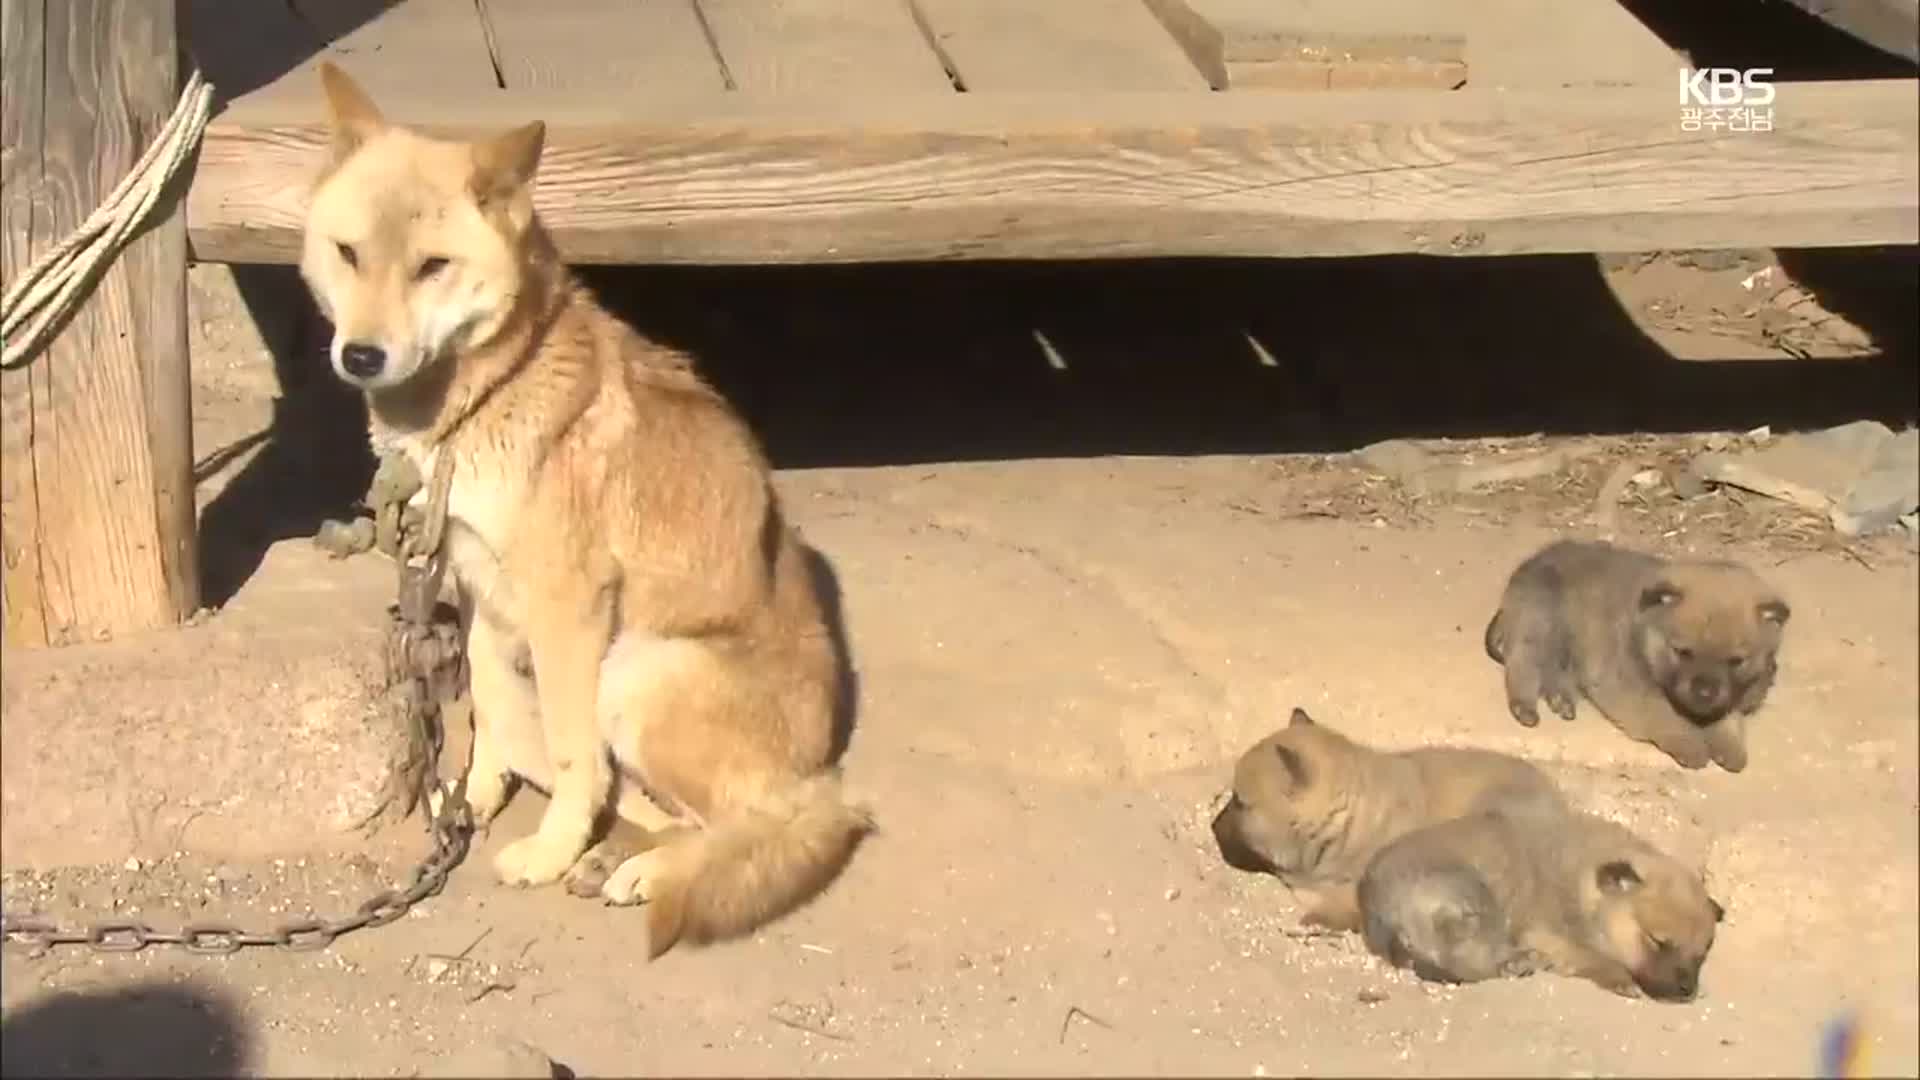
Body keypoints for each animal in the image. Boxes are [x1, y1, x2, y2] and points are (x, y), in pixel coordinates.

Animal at [299, 62, 871, 953]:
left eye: (432, 266)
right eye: (349, 253)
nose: (360, 355)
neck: (488, 393)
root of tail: (820, 775)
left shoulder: (567, 609)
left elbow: (569, 755)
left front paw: (549, 849)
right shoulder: (475, 584)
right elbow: (494, 711)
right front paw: (476, 800)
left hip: (634, 670)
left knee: (751, 825)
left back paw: (644, 871)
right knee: (668, 809)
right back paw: (619, 853)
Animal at [1359, 803, 1735, 999]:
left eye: (1702, 954)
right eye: (1657, 941)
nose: (1687, 989)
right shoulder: (1549, 934)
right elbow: (1595, 957)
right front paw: (1620, 977)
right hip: (1476, 903)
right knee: (1468, 960)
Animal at [1482, 534, 1781, 768]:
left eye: (1736, 661)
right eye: (1683, 652)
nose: (1705, 693)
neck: (1643, 633)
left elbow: (1728, 716)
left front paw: (1729, 744)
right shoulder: (1624, 686)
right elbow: (1664, 714)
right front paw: (1689, 744)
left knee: (1554, 670)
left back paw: (1561, 700)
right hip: (1539, 621)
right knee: (1523, 664)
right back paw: (1524, 707)